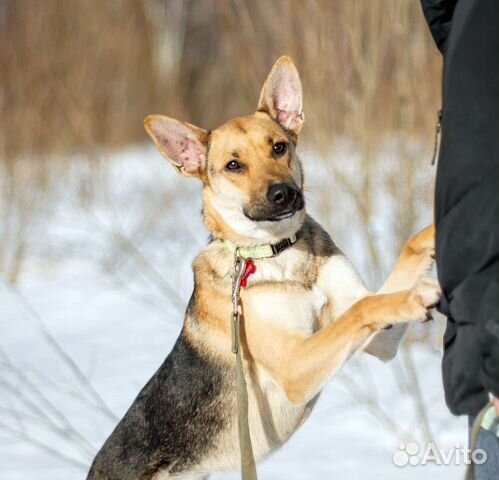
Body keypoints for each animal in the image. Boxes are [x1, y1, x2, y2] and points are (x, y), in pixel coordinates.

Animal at [88, 56, 440, 480]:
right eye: (233, 165)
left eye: (279, 147)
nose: (284, 194)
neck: (278, 255)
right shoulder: (296, 365)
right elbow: (362, 308)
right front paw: (418, 294)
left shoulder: (378, 341)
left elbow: (405, 255)